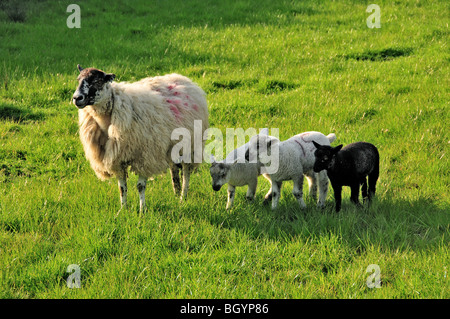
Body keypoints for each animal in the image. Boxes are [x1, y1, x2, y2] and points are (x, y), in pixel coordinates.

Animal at [71, 64, 209, 212]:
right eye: (78, 80)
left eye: (97, 81)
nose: (76, 98)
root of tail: (183, 79)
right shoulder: (117, 160)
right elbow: (122, 187)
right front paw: (123, 210)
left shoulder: (144, 157)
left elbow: (140, 186)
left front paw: (142, 211)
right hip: (171, 146)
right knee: (174, 169)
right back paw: (176, 193)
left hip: (190, 146)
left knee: (186, 172)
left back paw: (183, 197)